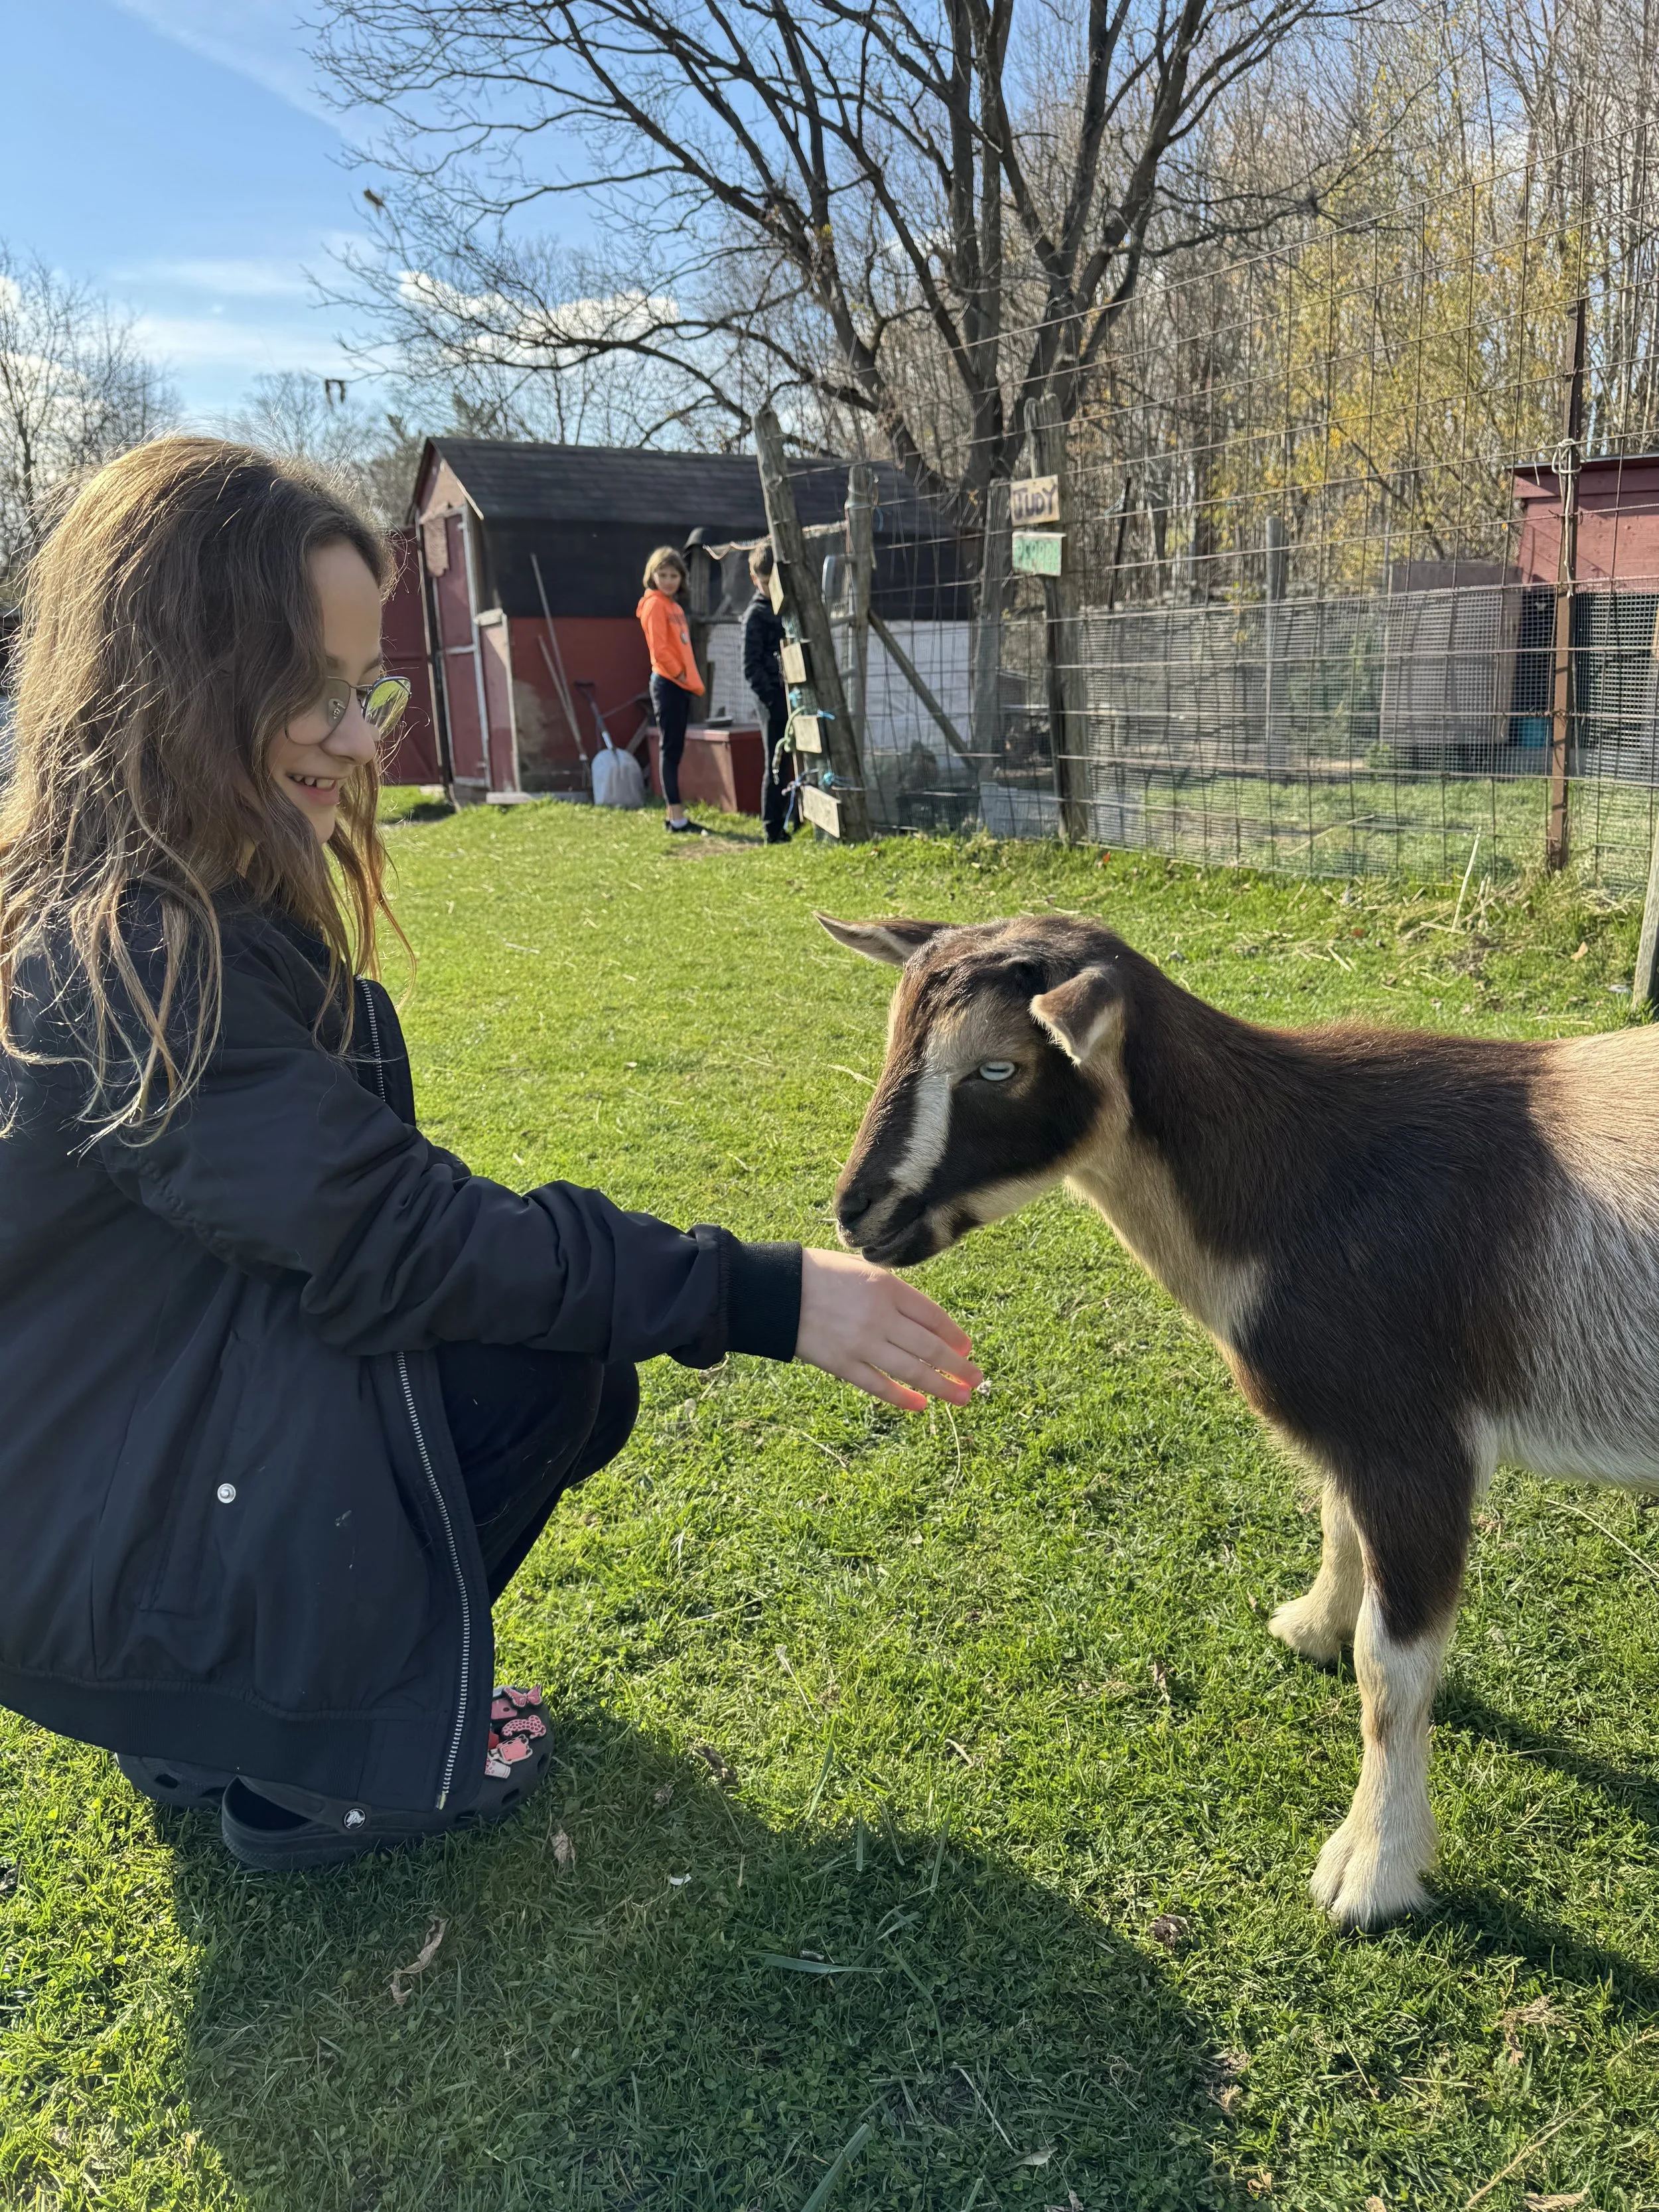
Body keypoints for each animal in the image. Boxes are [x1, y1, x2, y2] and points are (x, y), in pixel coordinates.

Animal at [819, 908, 1659, 1930]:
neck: (1297, 1181)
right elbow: (1338, 1528)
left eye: (997, 1067)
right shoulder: (1356, 1434)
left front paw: (1371, 1871)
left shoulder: (1416, 1441)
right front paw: (1311, 1627)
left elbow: (1392, 1668)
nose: (859, 1216)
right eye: (896, 1041)